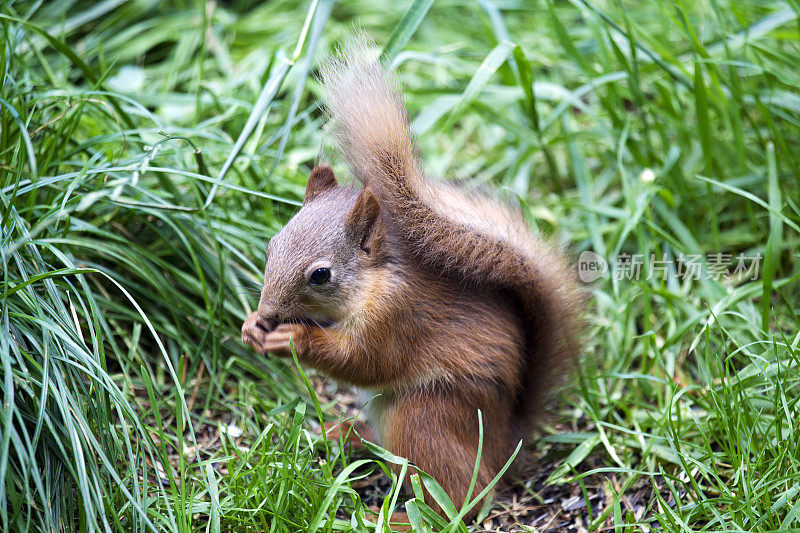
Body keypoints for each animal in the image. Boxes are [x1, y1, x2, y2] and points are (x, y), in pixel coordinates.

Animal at [241, 40, 584, 520]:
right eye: (272, 246)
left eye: (321, 275)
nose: (269, 312)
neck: (375, 279)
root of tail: (505, 442)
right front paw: (252, 326)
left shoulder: (395, 315)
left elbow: (365, 360)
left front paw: (292, 338)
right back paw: (344, 437)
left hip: (426, 417)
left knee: (461, 498)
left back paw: (392, 517)